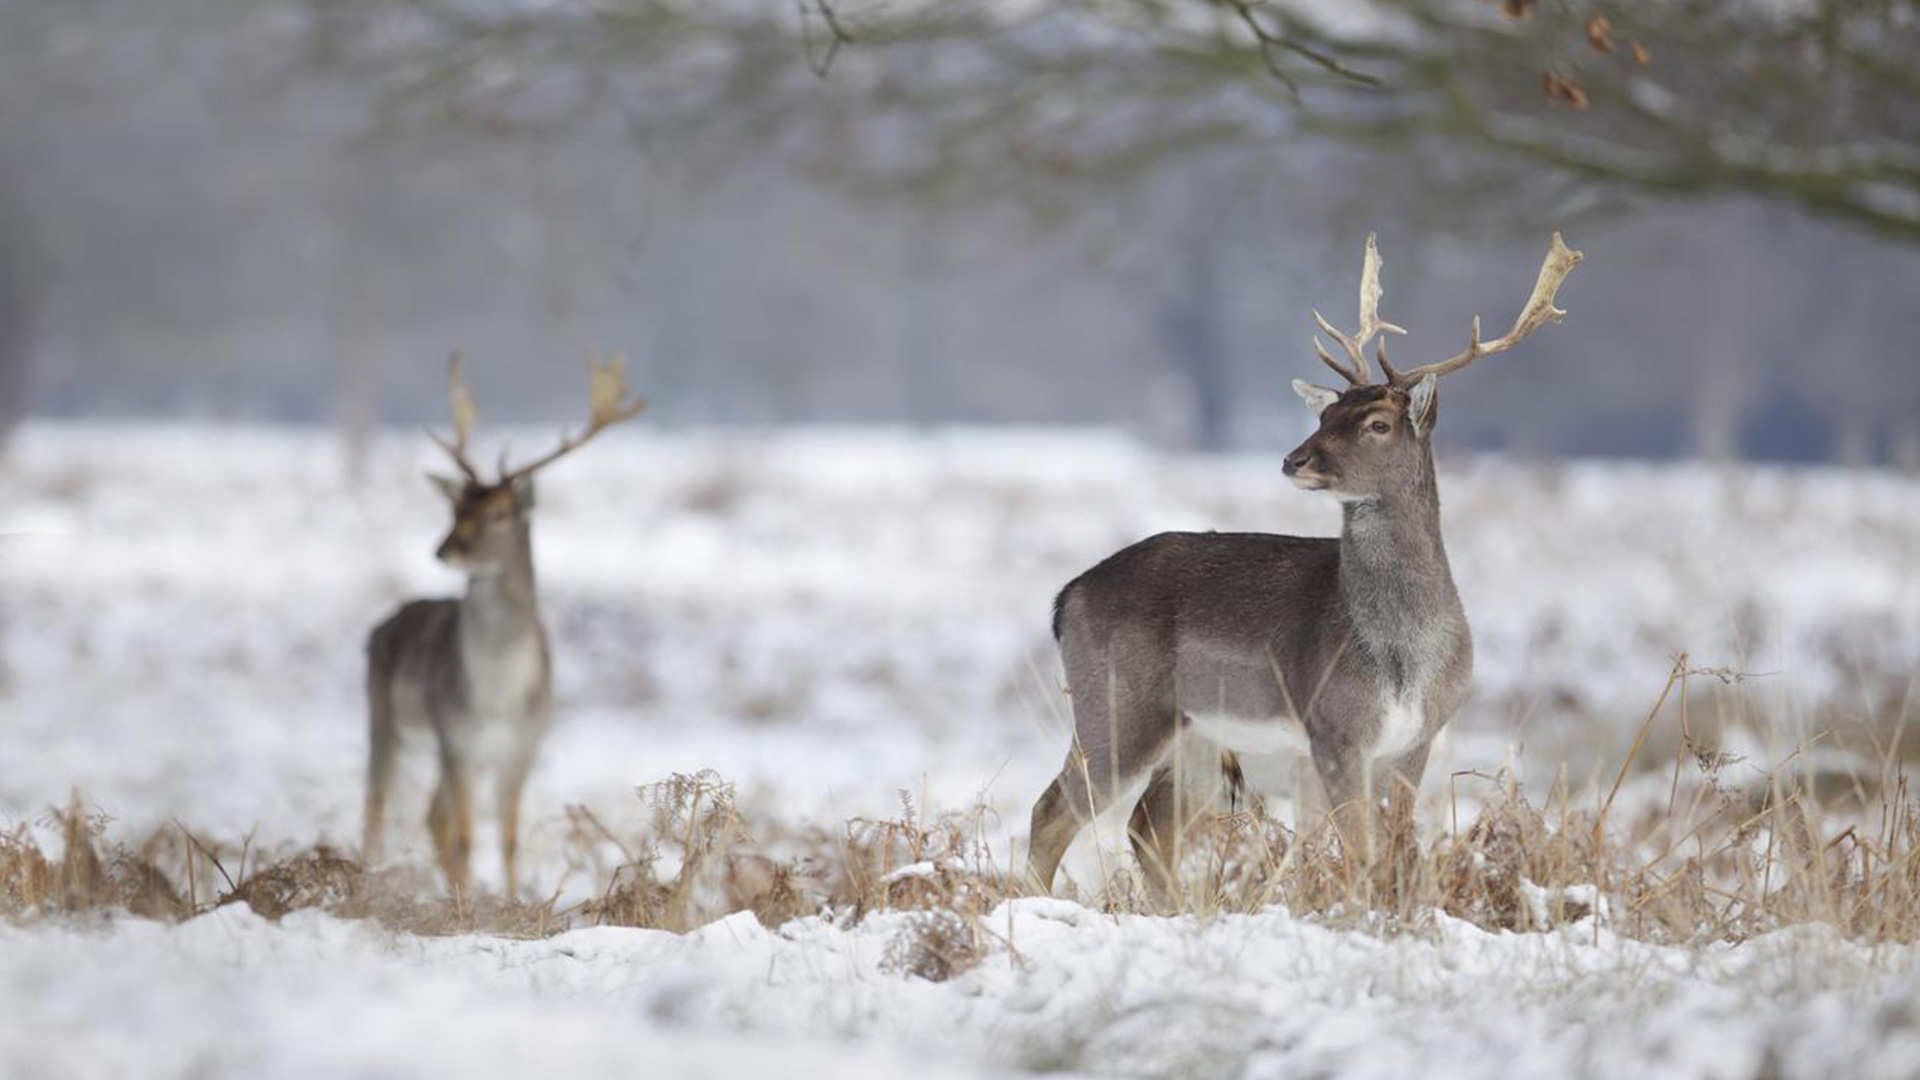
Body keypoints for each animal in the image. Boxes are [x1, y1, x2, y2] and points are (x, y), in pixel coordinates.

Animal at [362, 354, 646, 899]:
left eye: (499, 512)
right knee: (379, 805)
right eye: (454, 508)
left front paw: (512, 902)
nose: (444, 549)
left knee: (430, 816)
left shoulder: (524, 746)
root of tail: (381, 625)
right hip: (383, 714)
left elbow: (509, 839)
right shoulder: (455, 737)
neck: (498, 697)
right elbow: (467, 837)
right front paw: (473, 905)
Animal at [1027, 232, 1583, 908]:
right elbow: (1363, 856)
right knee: (1053, 810)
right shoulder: (1335, 729)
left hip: (1196, 741)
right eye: (1323, 417)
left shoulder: (1416, 740)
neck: (1403, 653)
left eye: (1377, 423)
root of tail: (1067, 596)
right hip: (1116, 704)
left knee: (1146, 829)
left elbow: (1395, 852)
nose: (1295, 459)